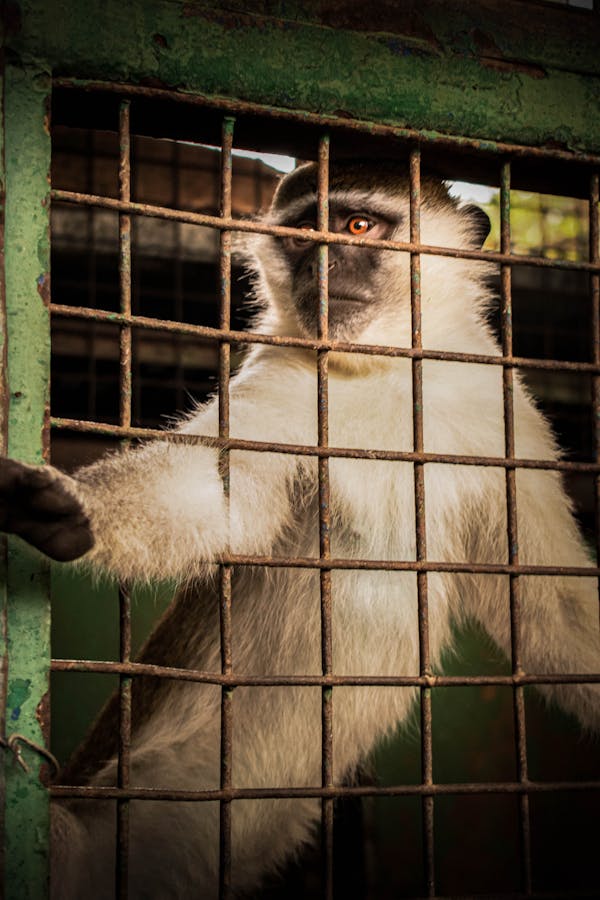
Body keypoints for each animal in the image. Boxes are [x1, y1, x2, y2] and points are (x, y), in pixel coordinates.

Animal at [0, 161, 598, 898]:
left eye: (357, 226)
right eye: (300, 235)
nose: (322, 263)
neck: (384, 370)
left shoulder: (504, 414)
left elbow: (552, 604)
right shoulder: (279, 388)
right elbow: (214, 497)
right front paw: (69, 509)